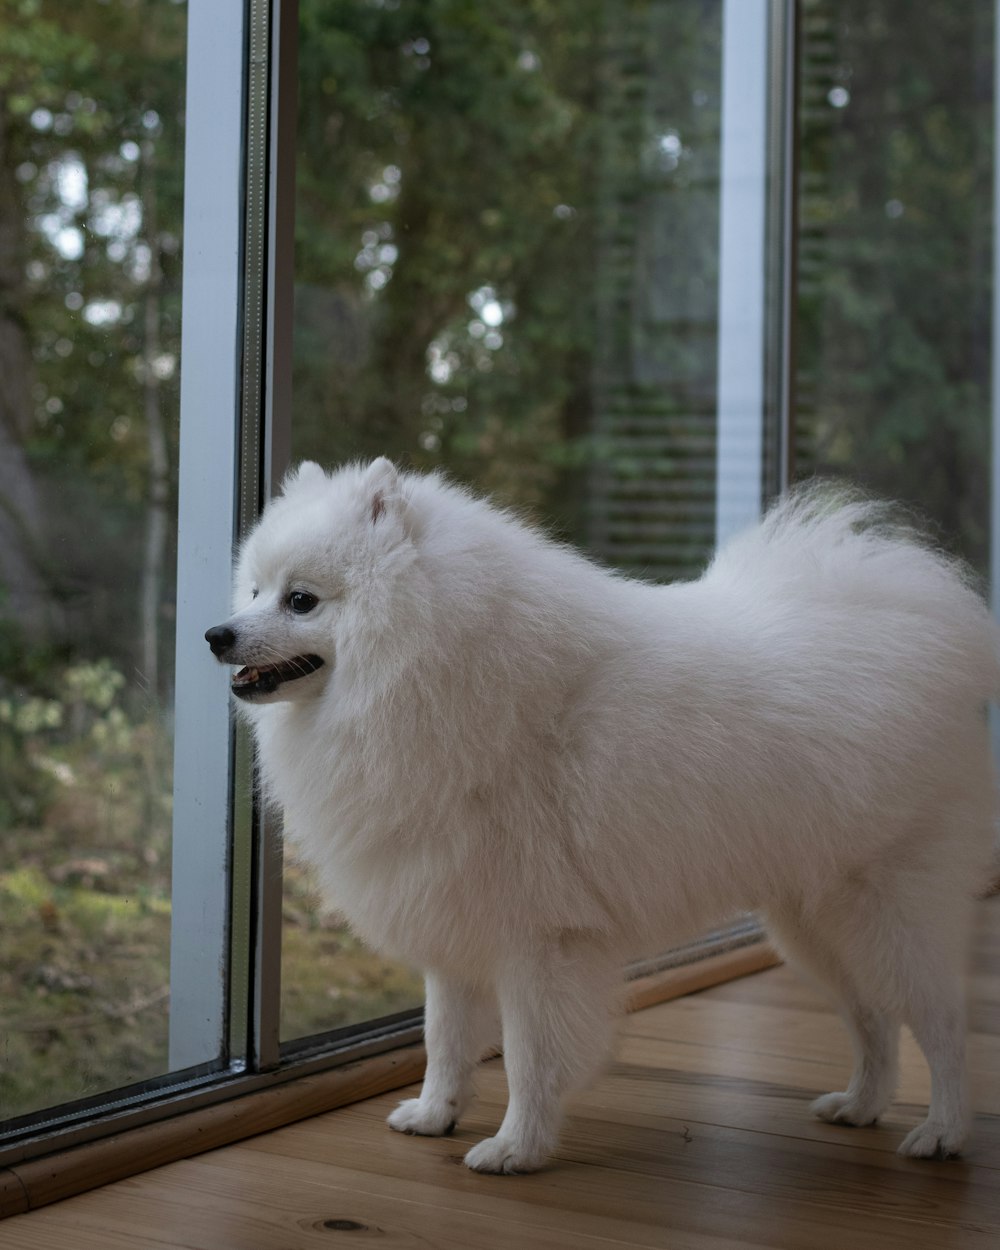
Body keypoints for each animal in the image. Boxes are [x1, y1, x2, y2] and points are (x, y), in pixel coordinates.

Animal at [207, 457, 995, 1170]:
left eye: (301, 600)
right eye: (253, 589)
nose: (217, 633)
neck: (446, 673)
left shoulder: (541, 942)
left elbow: (528, 1058)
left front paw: (516, 1148)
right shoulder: (455, 910)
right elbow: (445, 1039)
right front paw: (436, 1115)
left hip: (888, 910)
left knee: (942, 1024)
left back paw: (943, 1133)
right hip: (814, 923)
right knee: (874, 1021)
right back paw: (860, 1105)